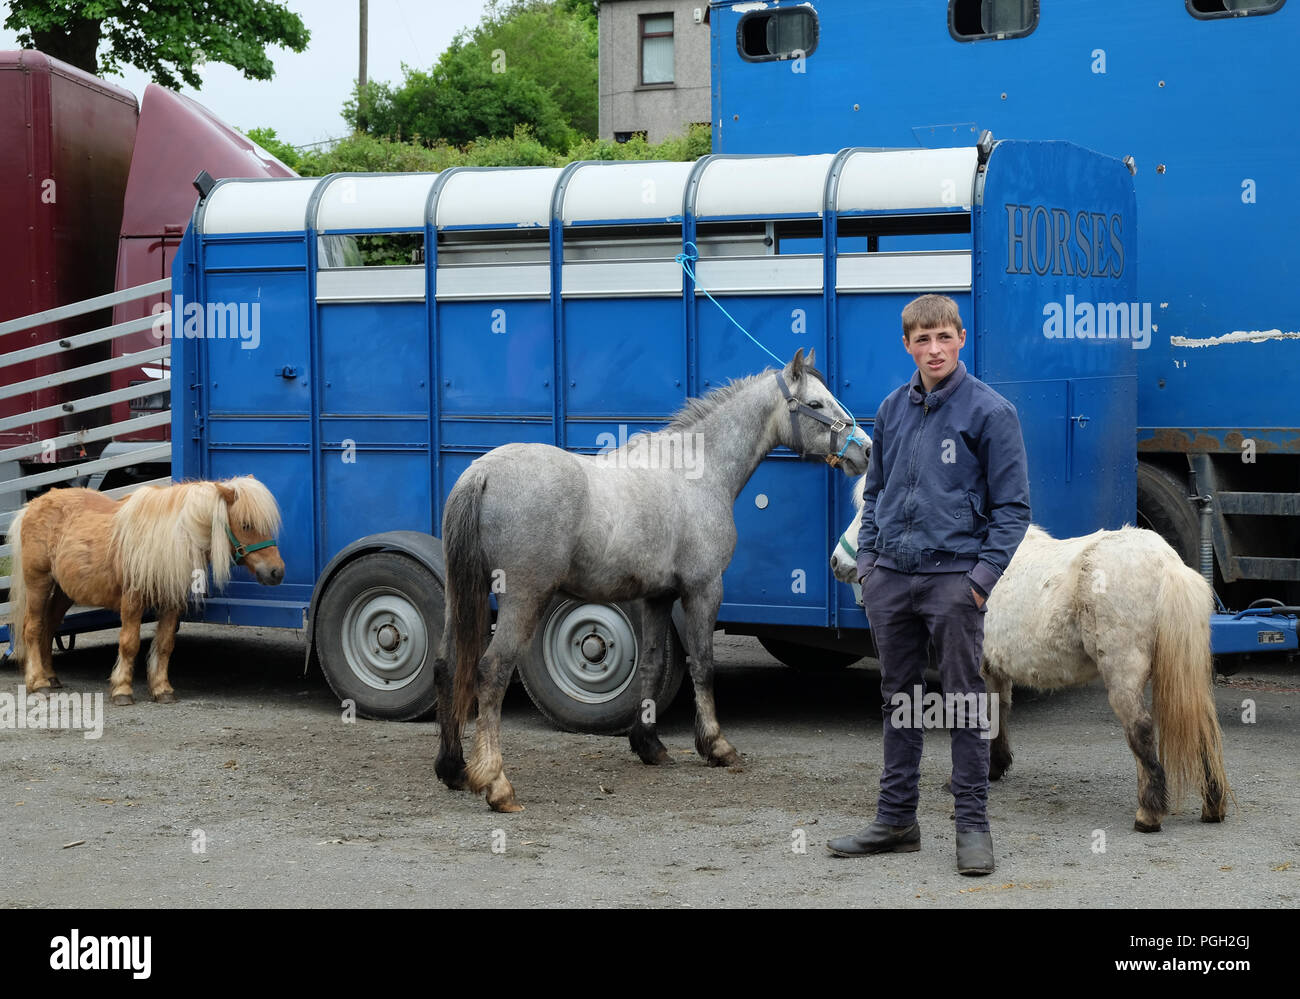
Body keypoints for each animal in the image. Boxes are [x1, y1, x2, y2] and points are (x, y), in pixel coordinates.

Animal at [9, 476, 284, 702]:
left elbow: (164, 645)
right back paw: (39, 682)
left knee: (48, 628)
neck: (168, 539)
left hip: (63, 592)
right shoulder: (132, 601)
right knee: (33, 628)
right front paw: (122, 689)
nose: (276, 572)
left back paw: (51, 677)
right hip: (38, 583)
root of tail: (32, 506)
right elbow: (129, 644)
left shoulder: (172, 603)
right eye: (246, 525)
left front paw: (162, 689)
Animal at [832, 473, 1227, 832]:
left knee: (1141, 729)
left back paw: (1148, 814)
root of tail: (1167, 564)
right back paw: (1213, 804)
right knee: (1201, 722)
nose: (838, 562)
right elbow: (998, 711)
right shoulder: (993, 668)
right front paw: (995, 767)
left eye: (871, 508)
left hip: (1124, 673)